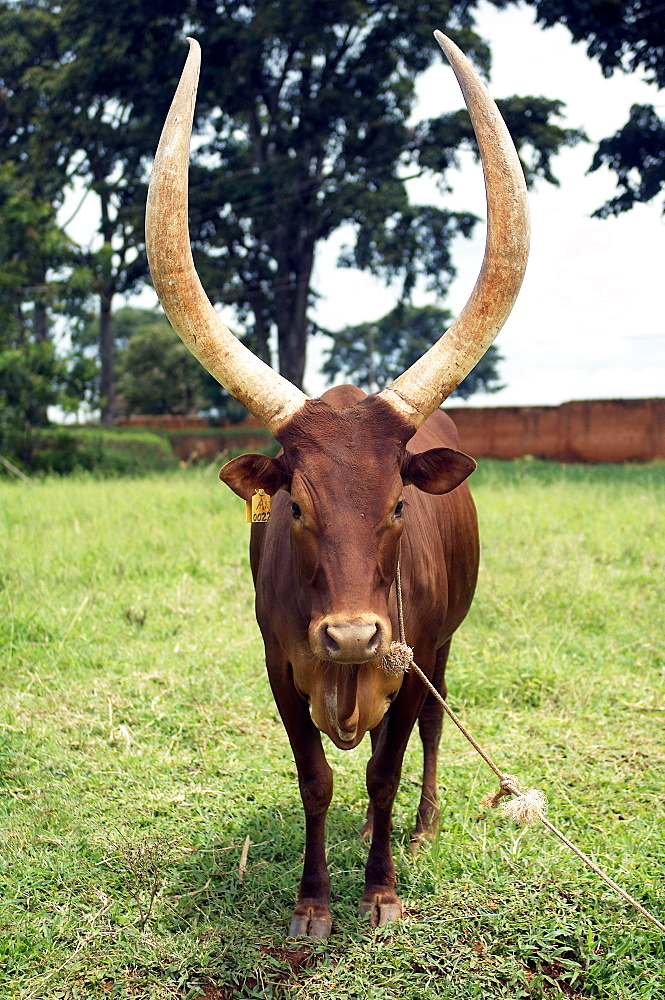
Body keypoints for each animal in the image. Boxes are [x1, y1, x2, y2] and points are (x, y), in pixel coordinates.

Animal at [147, 33, 528, 936]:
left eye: (396, 505)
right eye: (296, 507)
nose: (351, 637)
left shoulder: (409, 659)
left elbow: (386, 769)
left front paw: (381, 892)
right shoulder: (280, 670)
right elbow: (316, 781)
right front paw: (314, 903)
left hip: (443, 645)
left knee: (430, 731)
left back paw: (419, 826)